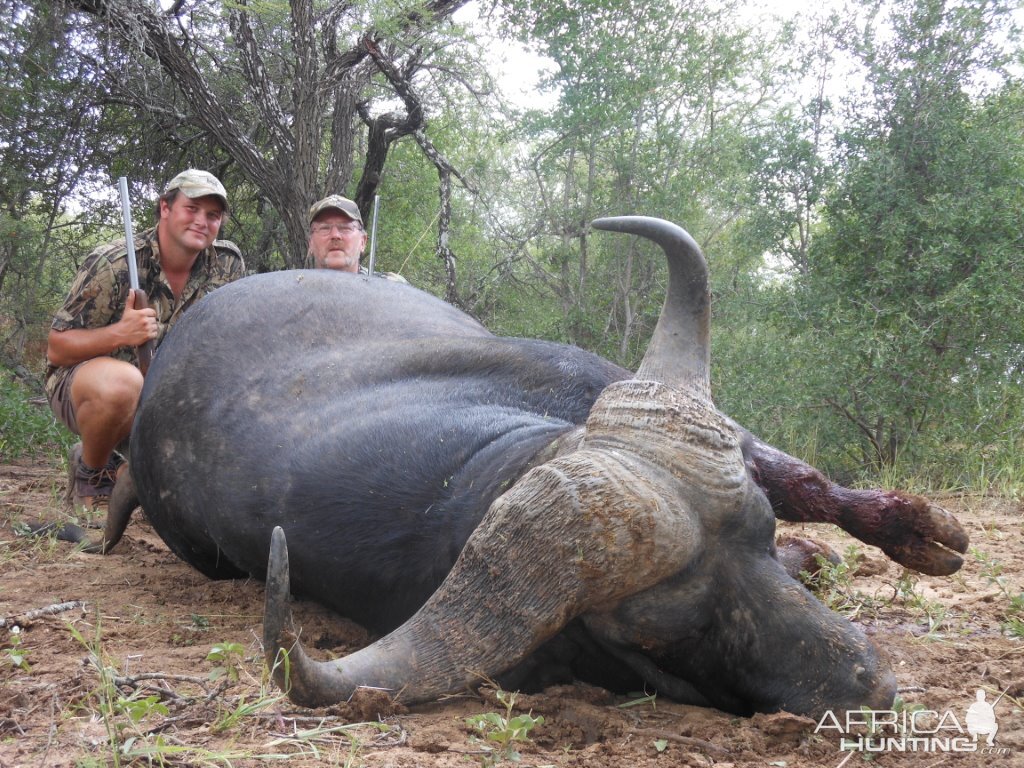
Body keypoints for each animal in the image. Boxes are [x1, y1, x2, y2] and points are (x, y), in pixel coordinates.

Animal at [90, 218, 966, 720]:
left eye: (755, 531)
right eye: (663, 630)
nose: (873, 685)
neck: (466, 477)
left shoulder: (586, 374)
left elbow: (802, 480)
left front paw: (921, 532)